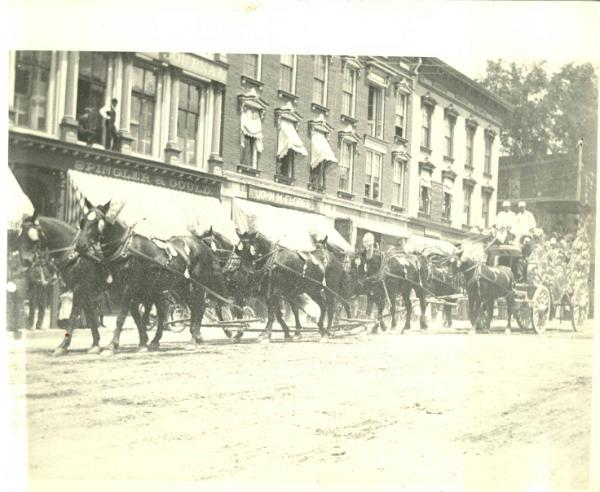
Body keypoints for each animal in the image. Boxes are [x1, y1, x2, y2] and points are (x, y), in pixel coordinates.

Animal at [17, 213, 110, 356]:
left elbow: (73, 317)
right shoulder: (85, 291)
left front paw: (63, 346)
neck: (76, 255)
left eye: (32, 236)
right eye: (20, 236)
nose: (25, 261)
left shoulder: (79, 289)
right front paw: (95, 344)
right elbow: (91, 317)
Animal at [72, 198, 227, 352]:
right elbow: (137, 316)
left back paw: (194, 338)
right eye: (83, 221)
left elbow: (122, 316)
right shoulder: (126, 289)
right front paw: (143, 342)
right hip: (180, 286)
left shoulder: (130, 287)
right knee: (192, 307)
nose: (79, 246)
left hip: (197, 285)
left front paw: (112, 345)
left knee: (199, 307)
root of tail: (202, 246)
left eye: (96, 222)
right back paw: (190, 336)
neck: (126, 248)